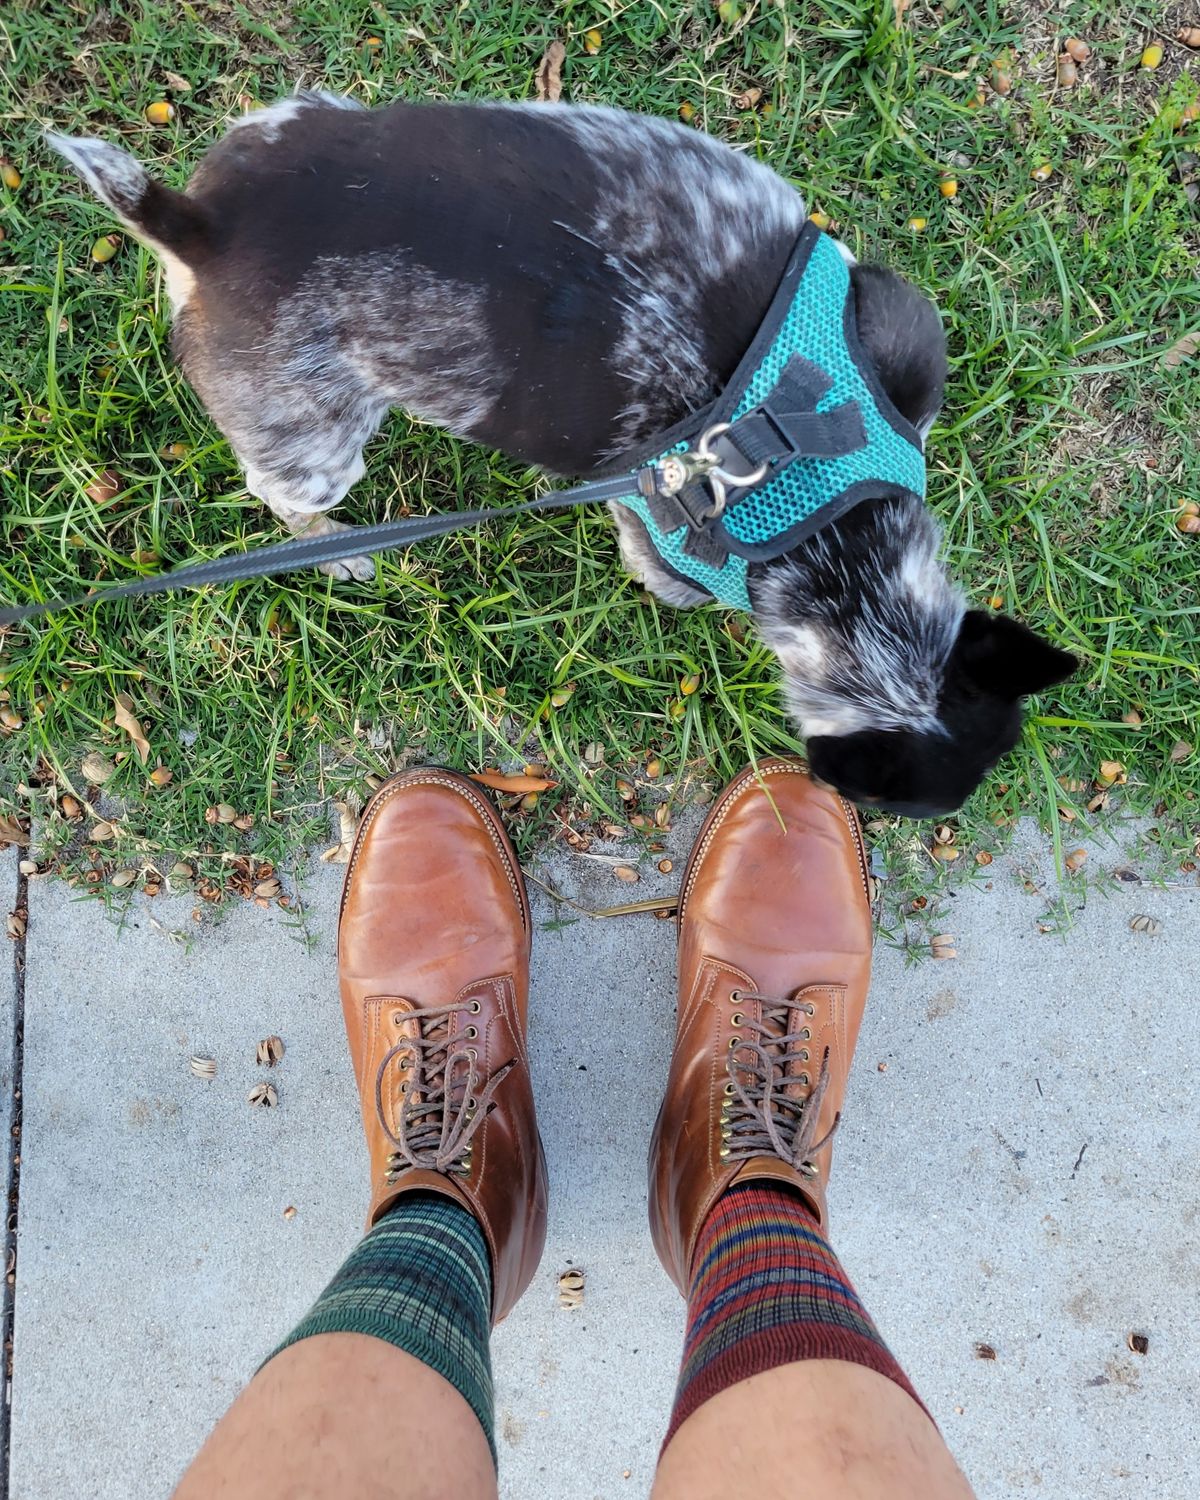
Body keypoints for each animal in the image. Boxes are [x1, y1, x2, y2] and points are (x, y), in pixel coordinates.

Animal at [51, 90, 1074, 822]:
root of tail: (199, 223)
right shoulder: (663, 545)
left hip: (300, 113)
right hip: (317, 442)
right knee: (281, 494)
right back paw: (340, 554)